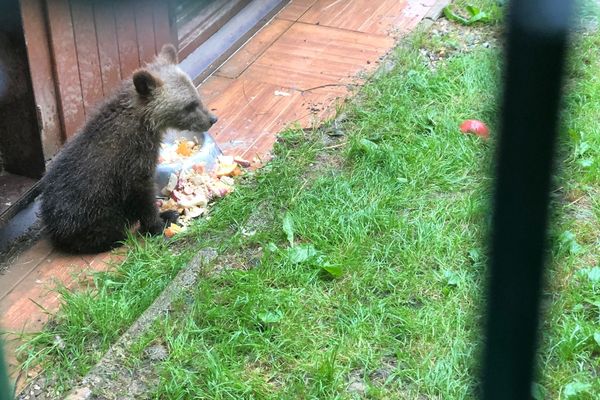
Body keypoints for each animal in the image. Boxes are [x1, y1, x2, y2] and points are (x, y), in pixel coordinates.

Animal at [40, 44, 218, 253]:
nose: (212, 119)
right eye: (189, 105)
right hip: (87, 212)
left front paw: (166, 215)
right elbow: (142, 195)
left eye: (196, 96)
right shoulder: (132, 163)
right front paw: (160, 222)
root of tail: (51, 225)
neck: (144, 123)